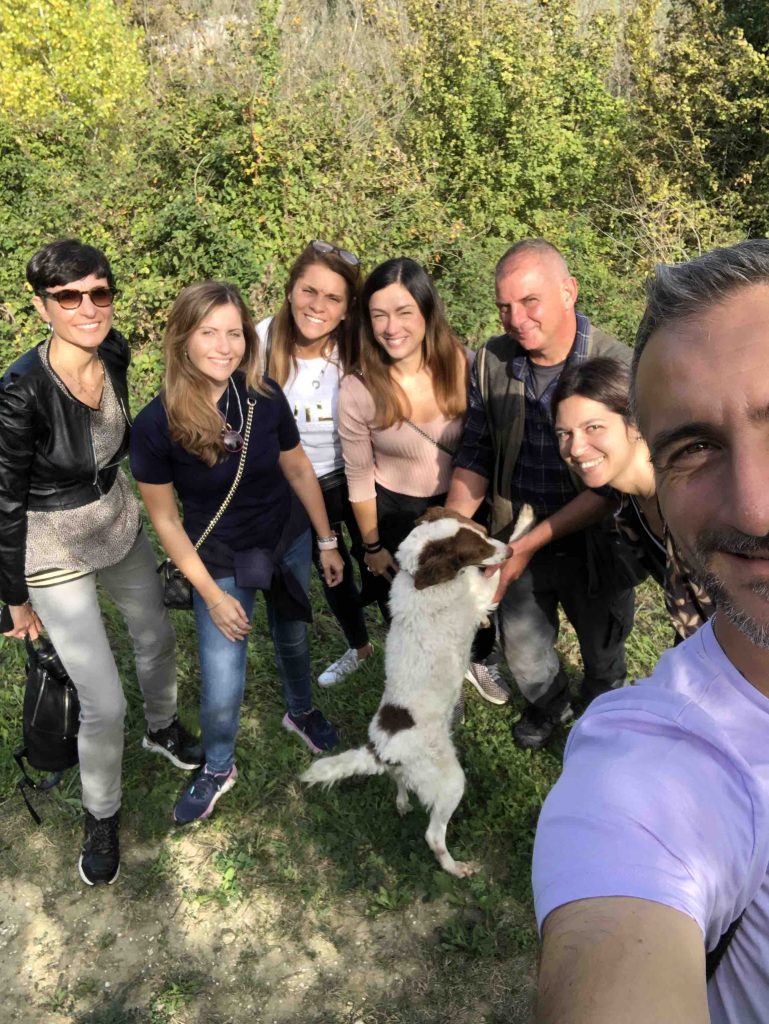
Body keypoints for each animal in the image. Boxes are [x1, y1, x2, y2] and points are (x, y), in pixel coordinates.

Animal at [303, 507, 532, 876]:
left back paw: (401, 802)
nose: (509, 554)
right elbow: (502, 560)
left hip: (409, 773)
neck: (420, 578)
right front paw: (526, 524)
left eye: (482, 531)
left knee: (398, 780)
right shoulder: (482, 592)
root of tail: (379, 749)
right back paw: (454, 866)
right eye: (474, 550)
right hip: (451, 782)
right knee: (433, 835)